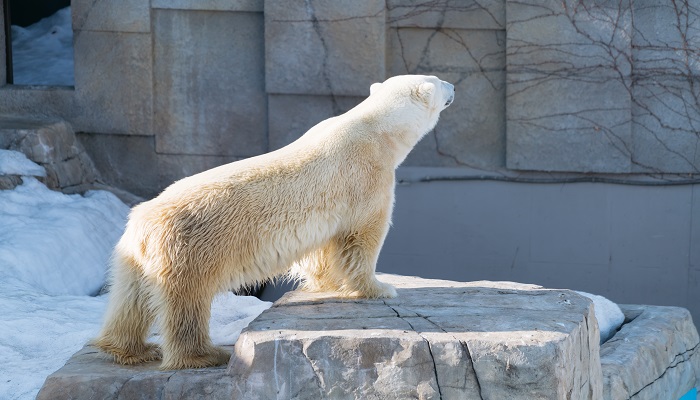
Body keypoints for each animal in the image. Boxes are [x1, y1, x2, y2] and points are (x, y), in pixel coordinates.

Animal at [94, 74, 455, 370]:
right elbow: (362, 237)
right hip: (191, 248)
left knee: (131, 300)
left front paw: (325, 283)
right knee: (187, 301)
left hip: (134, 255)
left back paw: (128, 349)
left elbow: (324, 249)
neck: (377, 128)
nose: (454, 86)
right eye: (438, 81)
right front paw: (379, 288)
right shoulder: (367, 176)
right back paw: (204, 355)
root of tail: (143, 221)